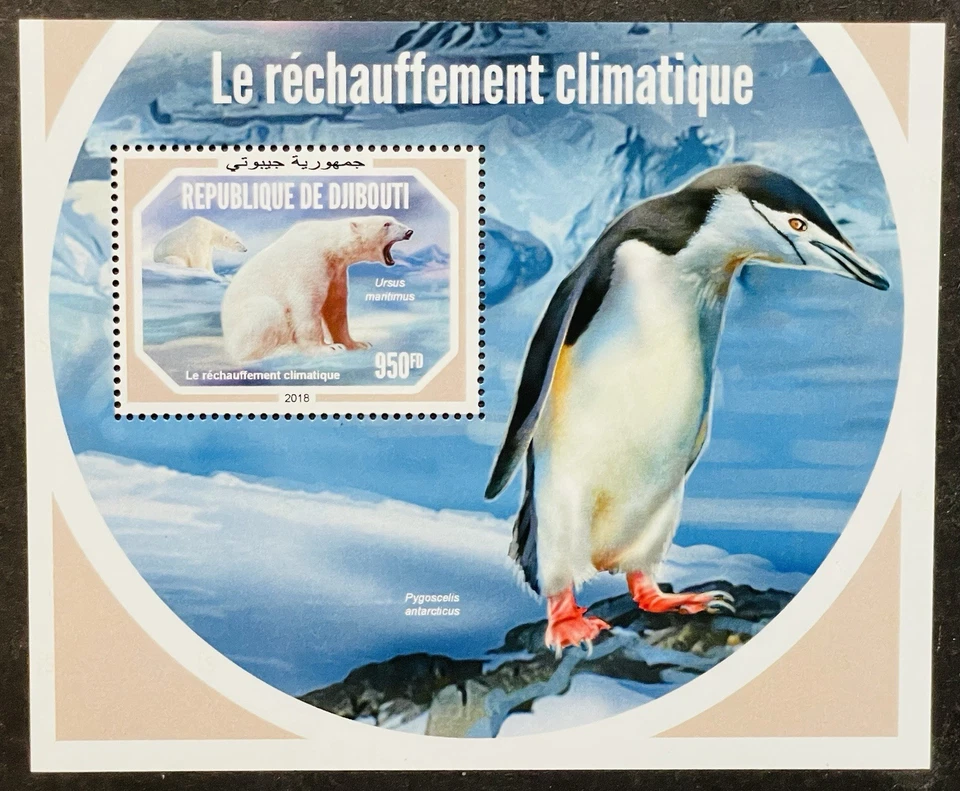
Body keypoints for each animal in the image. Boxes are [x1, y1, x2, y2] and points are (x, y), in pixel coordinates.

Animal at [220, 215, 413, 363]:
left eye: (394, 219)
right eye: (386, 224)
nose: (409, 232)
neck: (328, 244)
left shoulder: (336, 271)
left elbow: (335, 308)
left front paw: (357, 344)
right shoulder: (310, 262)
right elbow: (307, 306)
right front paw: (329, 348)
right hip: (246, 321)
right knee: (266, 312)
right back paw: (284, 349)